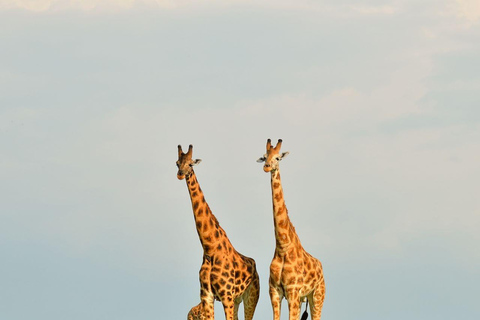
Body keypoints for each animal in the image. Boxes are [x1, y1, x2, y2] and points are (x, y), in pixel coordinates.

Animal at [175, 145, 258, 320]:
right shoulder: (207, 296)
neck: (209, 247)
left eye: (191, 164)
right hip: (237, 300)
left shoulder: (226, 295)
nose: (180, 174)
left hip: (251, 295)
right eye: (177, 163)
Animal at [255, 138, 326, 320]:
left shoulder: (293, 290)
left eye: (278, 158)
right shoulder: (274, 291)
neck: (282, 247)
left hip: (317, 295)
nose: (266, 167)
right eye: (264, 156)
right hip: (303, 298)